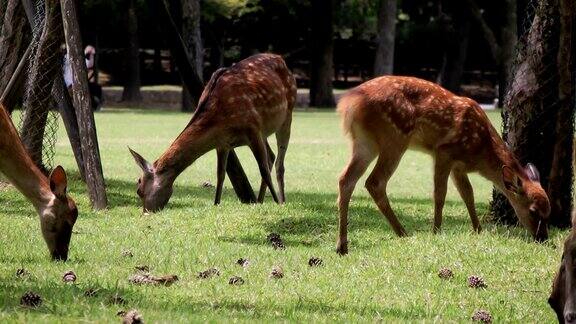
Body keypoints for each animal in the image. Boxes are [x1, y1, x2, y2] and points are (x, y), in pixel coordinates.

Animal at [130, 53, 296, 210]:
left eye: (139, 189)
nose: (145, 212)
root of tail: (281, 59)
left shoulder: (253, 129)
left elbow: (263, 170)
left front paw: (276, 202)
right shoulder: (223, 144)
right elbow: (220, 174)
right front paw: (216, 203)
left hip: (287, 113)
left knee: (279, 163)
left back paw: (282, 201)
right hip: (265, 131)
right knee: (271, 156)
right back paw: (260, 200)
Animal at [336, 76, 552, 256]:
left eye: (549, 212)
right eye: (533, 211)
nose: (543, 238)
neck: (480, 152)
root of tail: (349, 104)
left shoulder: (459, 166)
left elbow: (468, 194)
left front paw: (478, 229)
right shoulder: (444, 152)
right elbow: (440, 194)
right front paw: (436, 230)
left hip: (365, 142)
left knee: (346, 179)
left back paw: (342, 246)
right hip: (394, 138)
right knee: (375, 182)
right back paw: (402, 232)